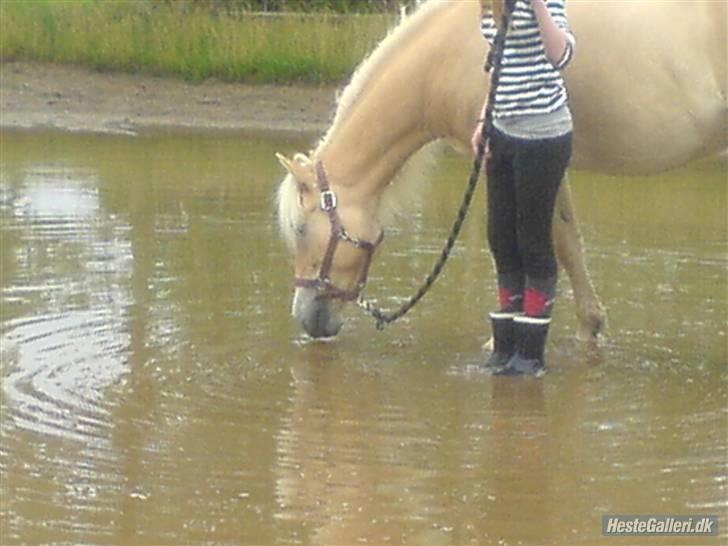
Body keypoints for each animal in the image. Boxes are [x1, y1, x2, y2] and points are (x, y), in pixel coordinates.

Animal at [276, 0, 724, 338]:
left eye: (300, 229)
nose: (308, 319)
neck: (450, 54)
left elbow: (545, 242)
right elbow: (569, 241)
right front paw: (590, 330)